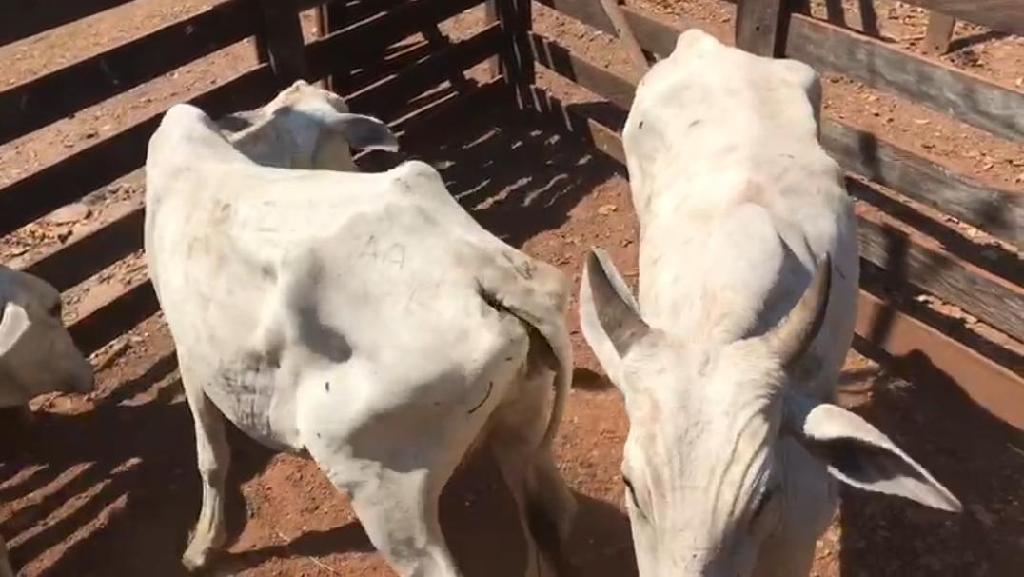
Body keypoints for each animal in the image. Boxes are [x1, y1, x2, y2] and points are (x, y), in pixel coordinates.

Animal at [142, 87, 577, 577]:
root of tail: (487, 274)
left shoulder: (189, 356)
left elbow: (211, 456)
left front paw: (201, 546)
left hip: (386, 492)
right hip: (524, 426)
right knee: (550, 519)